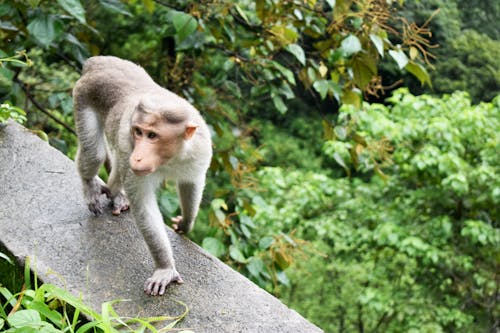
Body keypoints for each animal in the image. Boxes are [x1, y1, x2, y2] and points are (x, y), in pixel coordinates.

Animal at [72, 55, 211, 296]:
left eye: (152, 135)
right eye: (138, 132)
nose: (137, 157)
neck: (170, 158)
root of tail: (98, 61)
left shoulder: (200, 151)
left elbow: (191, 183)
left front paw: (185, 223)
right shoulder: (130, 144)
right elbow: (145, 206)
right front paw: (165, 268)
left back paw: (116, 192)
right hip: (83, 95)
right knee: (95, 153)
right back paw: (90, 185)